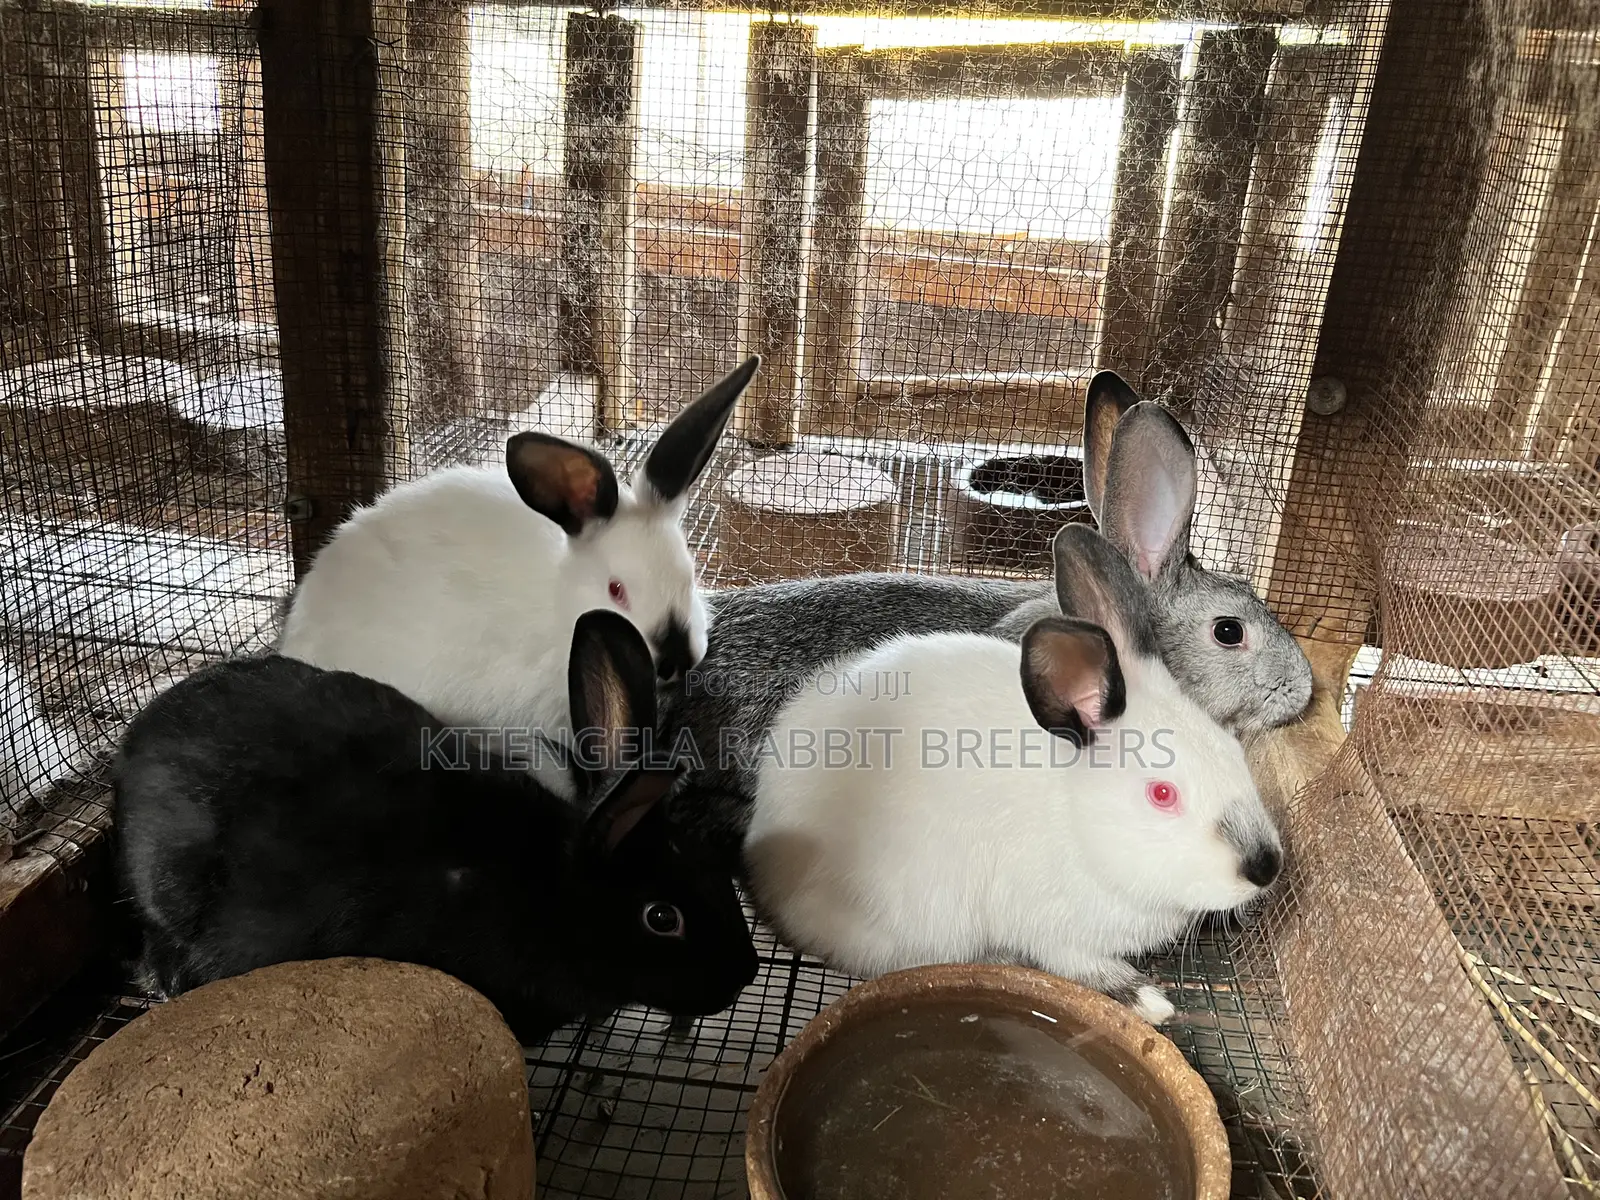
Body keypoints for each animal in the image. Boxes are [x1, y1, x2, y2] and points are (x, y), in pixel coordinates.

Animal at [743, 523, 1284, 1027]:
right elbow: (1085, 968)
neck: (1078, 823)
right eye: (1163, 793)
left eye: (1233, 749)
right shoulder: (1054, 932)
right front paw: (1149, 1001)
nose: (1267, 868)